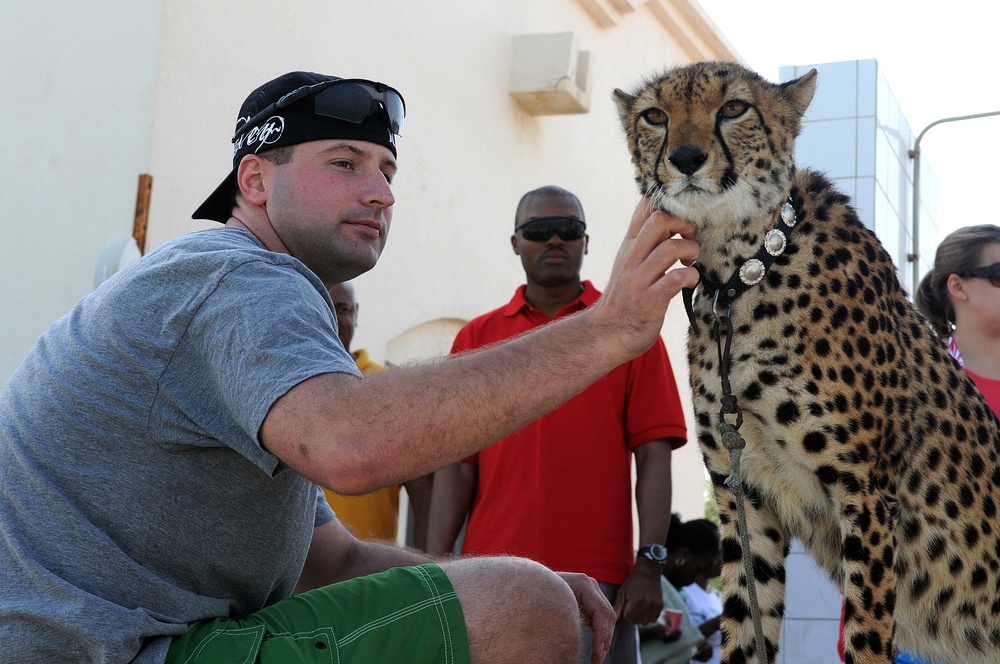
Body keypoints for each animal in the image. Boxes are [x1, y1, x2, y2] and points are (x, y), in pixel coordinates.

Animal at [612, 59, 1000, 660]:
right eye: (655, 116)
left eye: (734, 108)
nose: (686, 158)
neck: (740, 275)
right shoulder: (744, 496)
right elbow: (746, 627)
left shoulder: (866, 493)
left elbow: (866, 636)